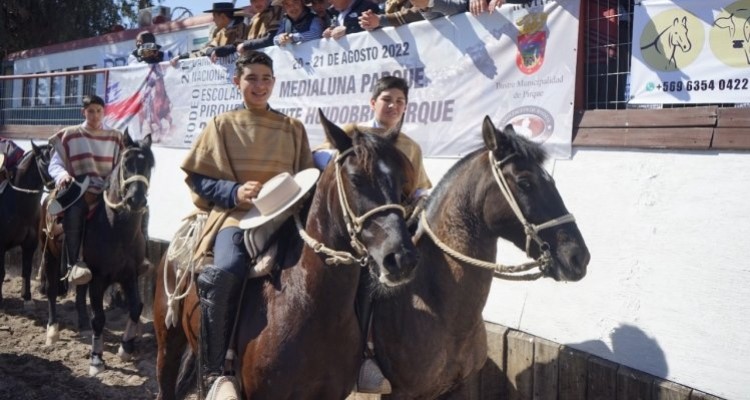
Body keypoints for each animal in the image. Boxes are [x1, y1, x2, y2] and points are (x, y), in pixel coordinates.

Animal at [43, 133, 154, 376]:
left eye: (150, 164)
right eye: (126, 163)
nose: (137, 200)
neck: (116, 230)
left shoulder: (130, 275)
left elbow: (136, 307)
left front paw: (126, 348)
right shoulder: (99, 279)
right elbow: (100, 318)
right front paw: (96, 359)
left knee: (79, 291)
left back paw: (82, 325)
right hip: (51, 256)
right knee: (53, 292)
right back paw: (52, 331)